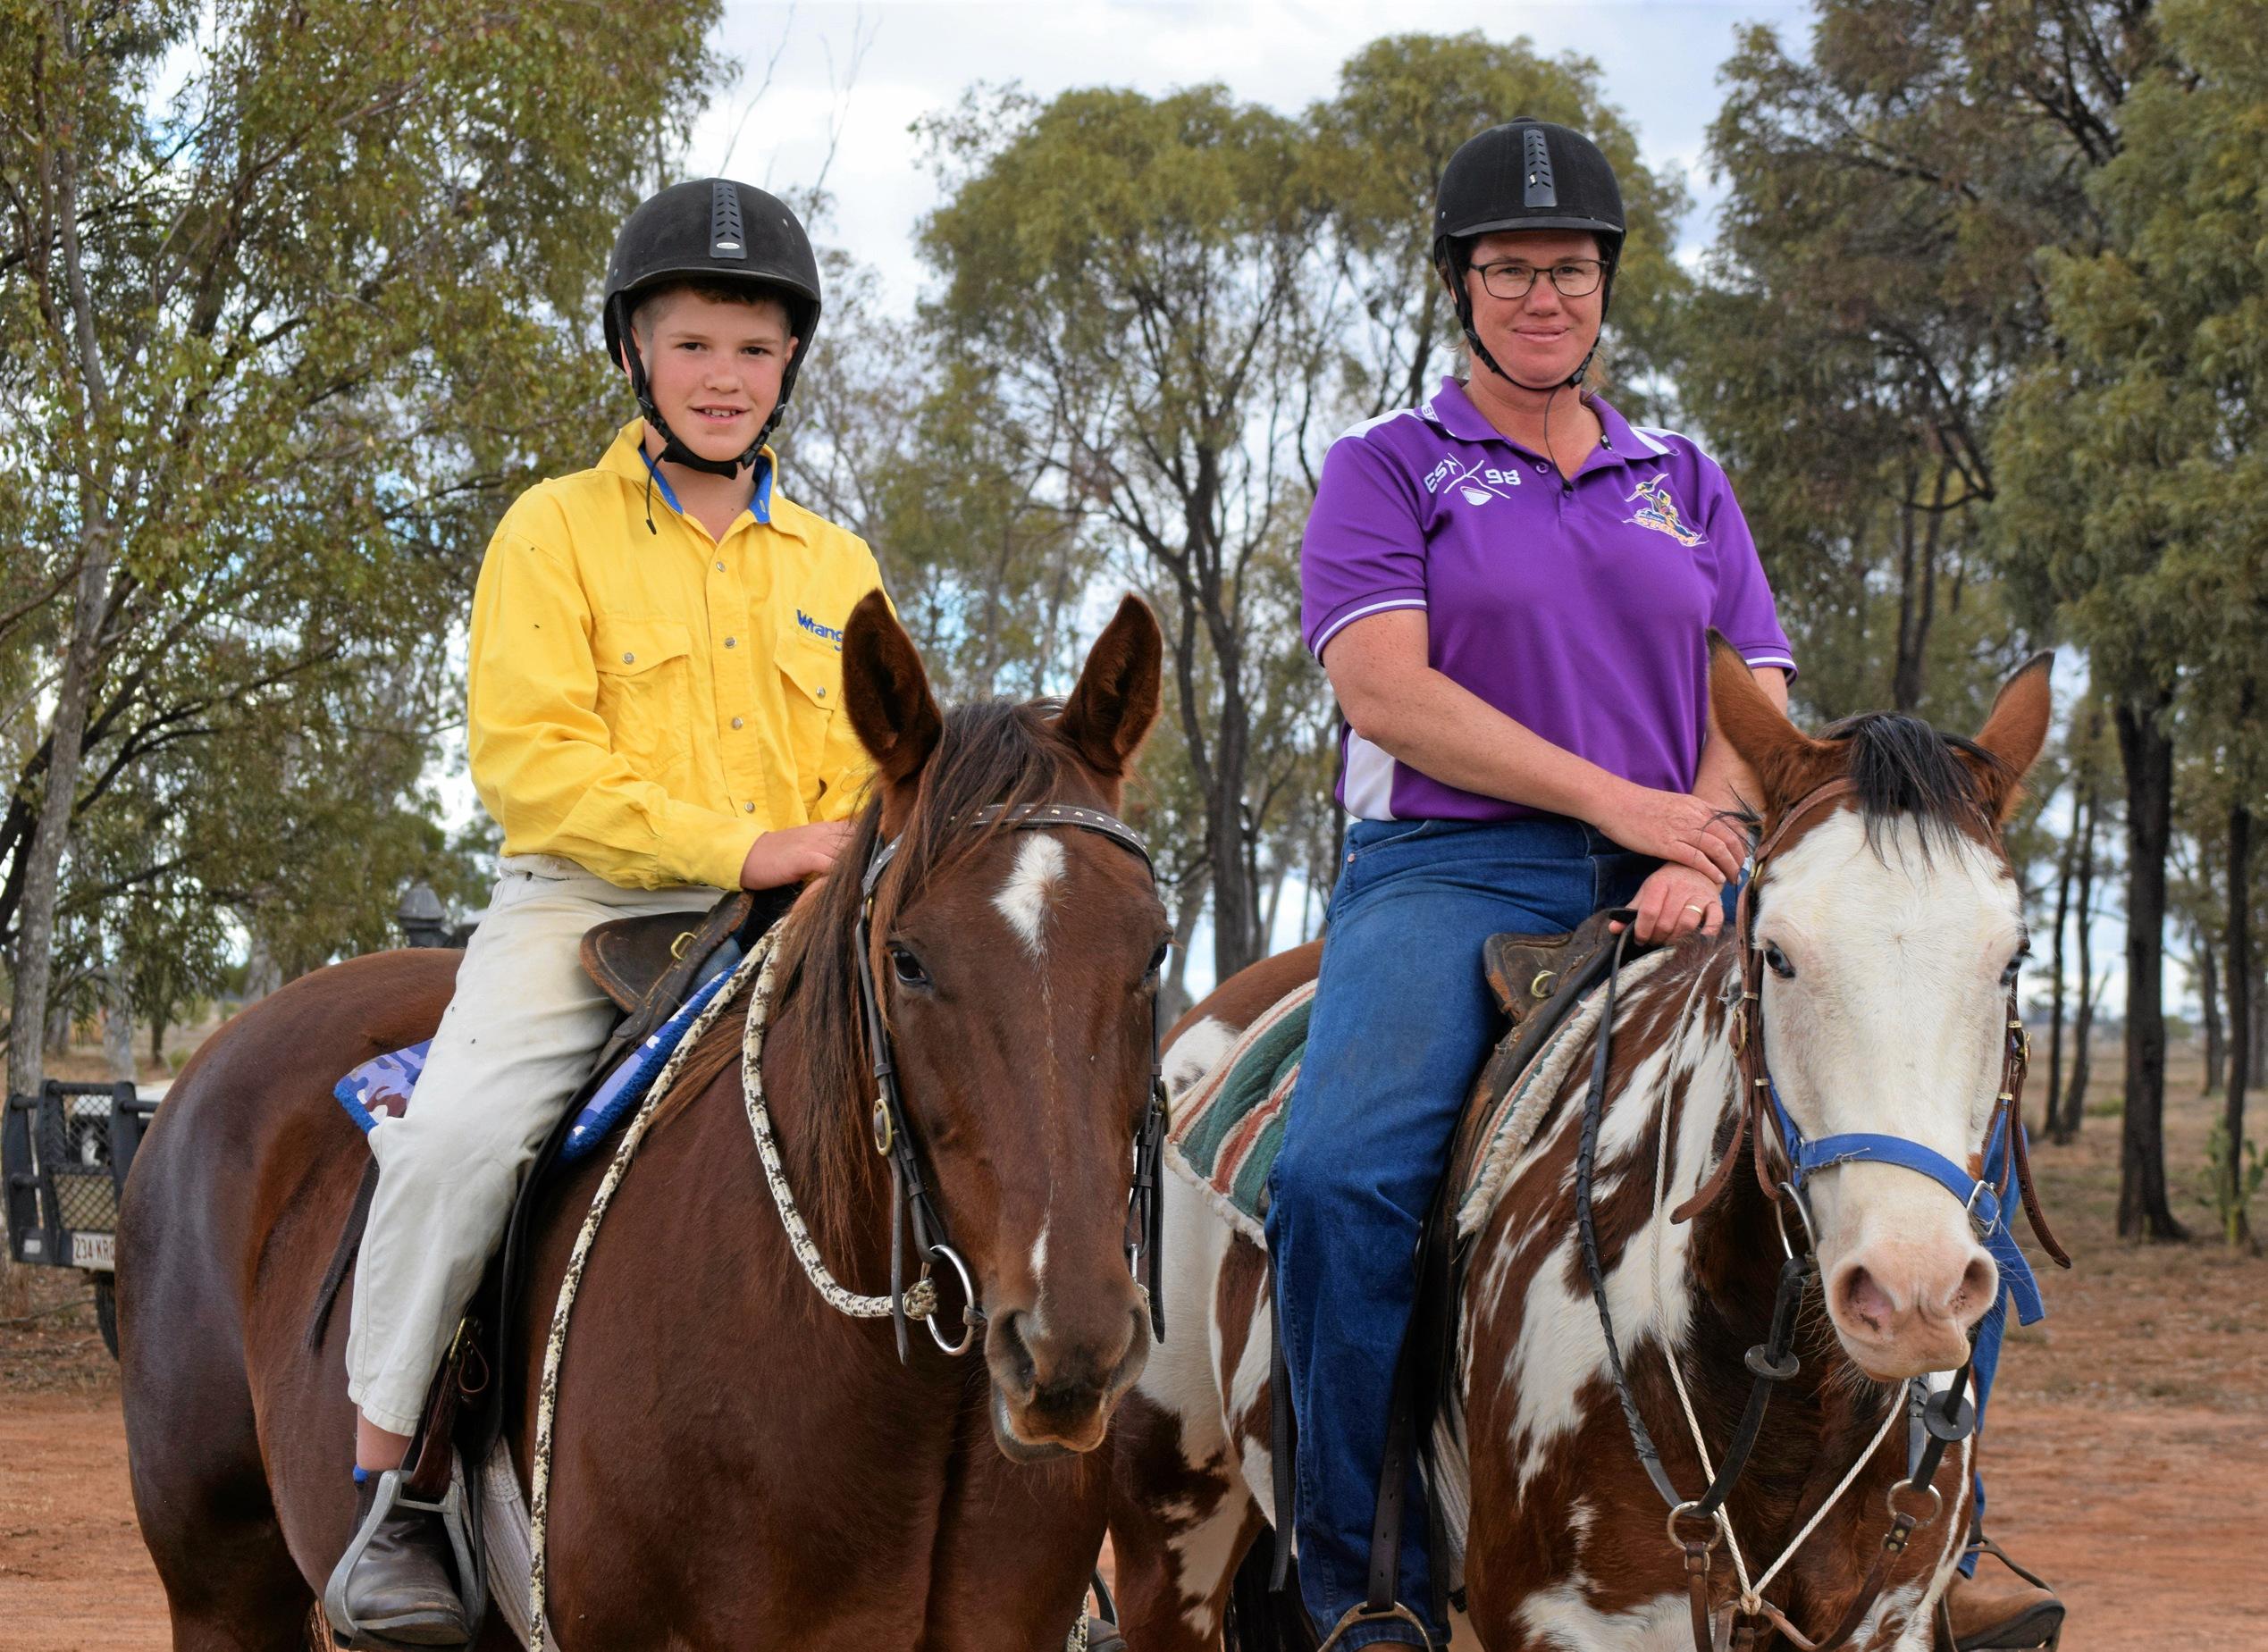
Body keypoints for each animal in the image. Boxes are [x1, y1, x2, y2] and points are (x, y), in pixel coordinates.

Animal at [1111, 643, 2059, 1649]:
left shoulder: (1889, 1621)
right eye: (1777, 953)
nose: (1911, 1290)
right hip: (1167, 1523)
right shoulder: (1571, 1622)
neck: (1779, 1389)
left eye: (2012, 958)